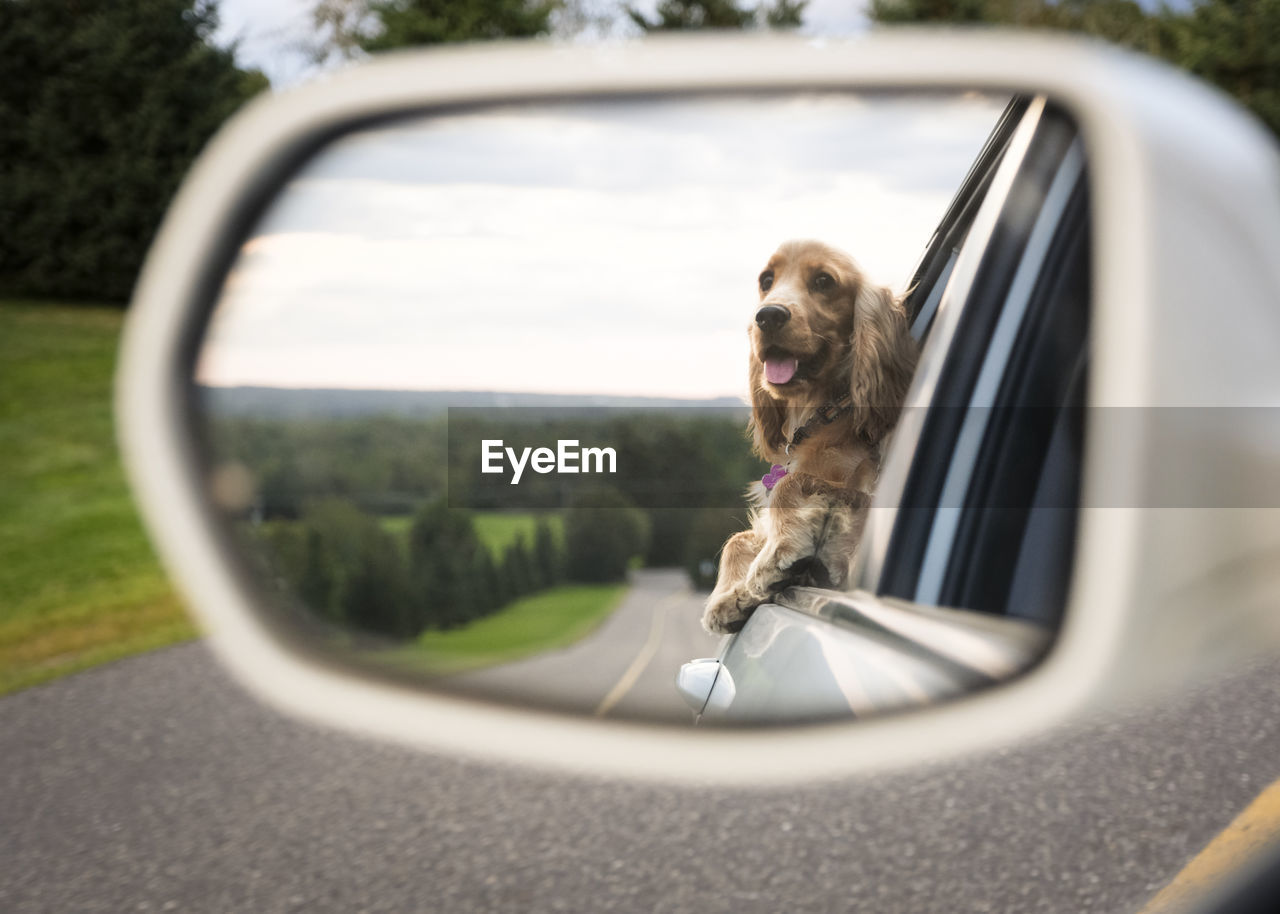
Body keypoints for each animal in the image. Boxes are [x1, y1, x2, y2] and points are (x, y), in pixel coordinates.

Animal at [701, 238, 921, 629]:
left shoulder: (858, 489)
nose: (767, 316)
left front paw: (776, 557)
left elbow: (788, 485)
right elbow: (738, 537)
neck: (820, 413)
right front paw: (730, 598)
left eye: (824, 281)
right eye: (767, 279)